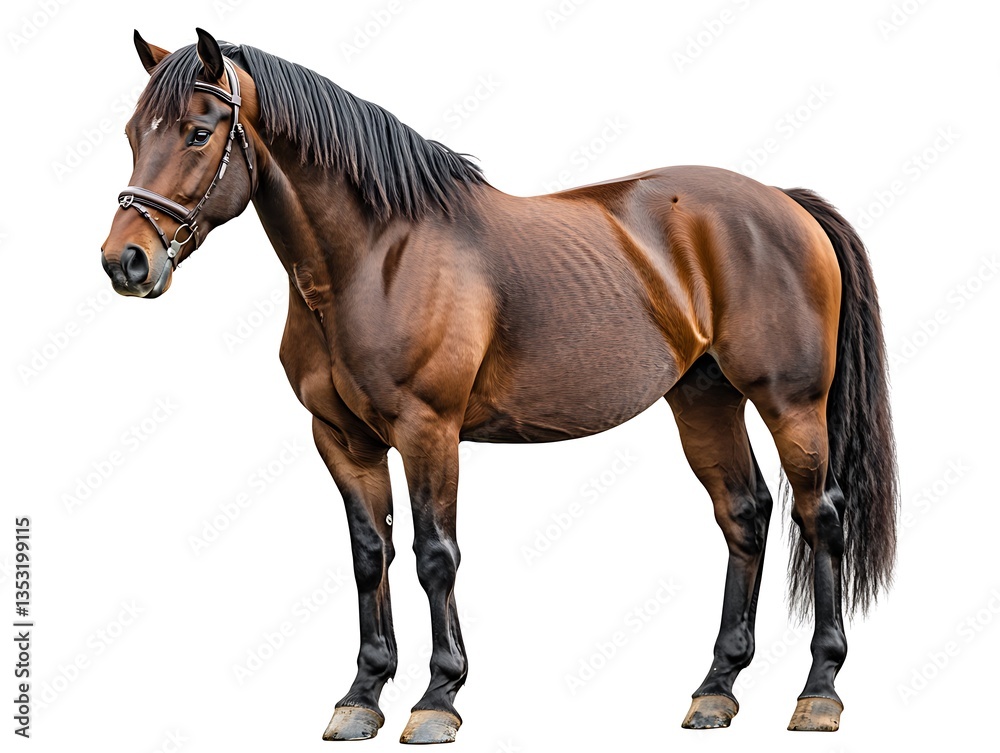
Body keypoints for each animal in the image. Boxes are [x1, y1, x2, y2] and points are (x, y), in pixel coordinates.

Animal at [100, 28, 897, 743]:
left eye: (200, 132)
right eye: (134, 132)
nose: (125, 262)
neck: (375, 256)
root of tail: (783, 201)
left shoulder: (428, 430)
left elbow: (435, 554)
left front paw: (437, 698)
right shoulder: (343, 440)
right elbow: (369, 555)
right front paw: (361, 697)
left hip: (791, 404)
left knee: (819, 516)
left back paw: (819, 691)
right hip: (704, 400)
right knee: (745, 514)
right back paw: (715, 689)